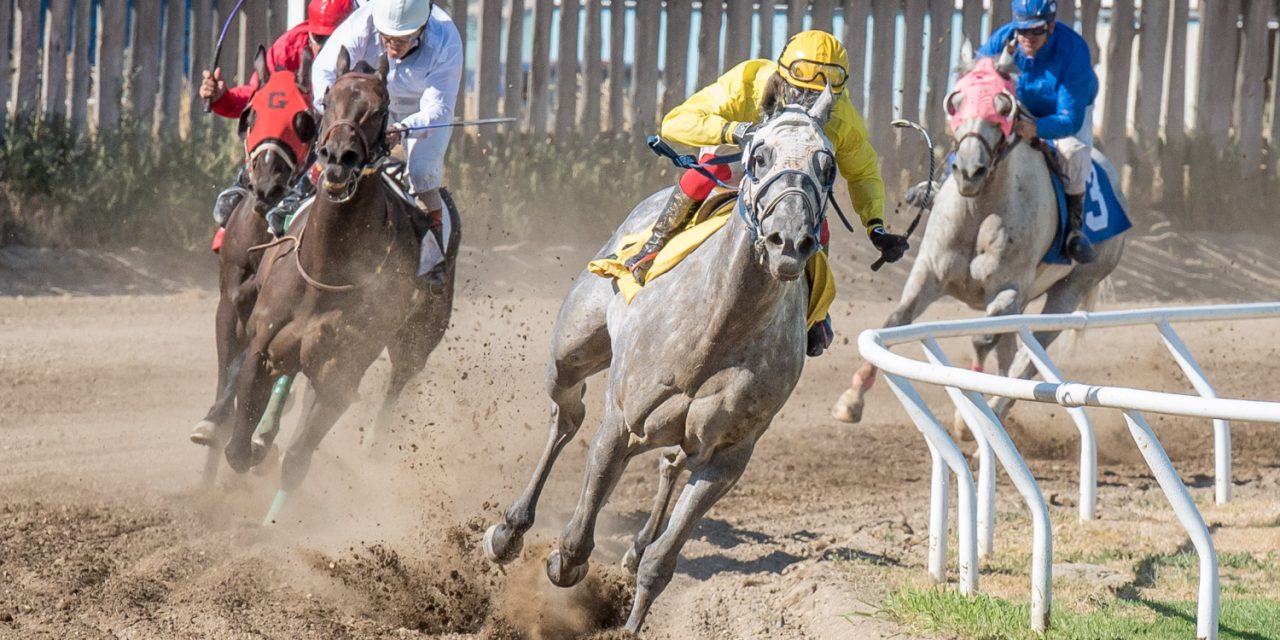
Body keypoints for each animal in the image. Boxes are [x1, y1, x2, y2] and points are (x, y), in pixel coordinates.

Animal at [189, 46, 318, 476]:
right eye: (252, 114)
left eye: (303, 120)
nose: (266, 189)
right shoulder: (230, 300)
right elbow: (229, 363)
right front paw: (213, 425)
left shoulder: (274, 312)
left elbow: (250, 361)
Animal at [220, 48, 460, 523]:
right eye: (328, 100)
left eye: (381, 108)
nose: (338, 157)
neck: (327, 269)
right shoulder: (262, 346)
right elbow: (237, 446)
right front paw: (255, 446)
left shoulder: (339, 374)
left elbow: (297, 459)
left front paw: (272, 524)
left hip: (418, 339)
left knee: (398, 384)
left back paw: (373, 448)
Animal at [483, 87, 840, 634]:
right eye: (759, 156)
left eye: (827, 165)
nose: (790, 241)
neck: (718, 327)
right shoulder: (622, 423)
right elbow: (577, 541)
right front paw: (562, 561)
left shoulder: (728, 458)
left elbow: (661, 560)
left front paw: (632, 617)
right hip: (572, 349)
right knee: (567, 414)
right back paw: (510, 529)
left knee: (669, 464)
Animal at [830, 40, 1125, 428]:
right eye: (956, 99)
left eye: (1003, 106)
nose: (969, 170)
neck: (979, 210)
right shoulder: (929, 273)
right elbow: (896, 320)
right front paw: (851, 399)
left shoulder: (1009, 290)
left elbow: (983, 339)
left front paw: (969, 412)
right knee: (1012, 348)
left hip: (1071, 288)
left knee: (1030, 355)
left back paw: (998, 406)